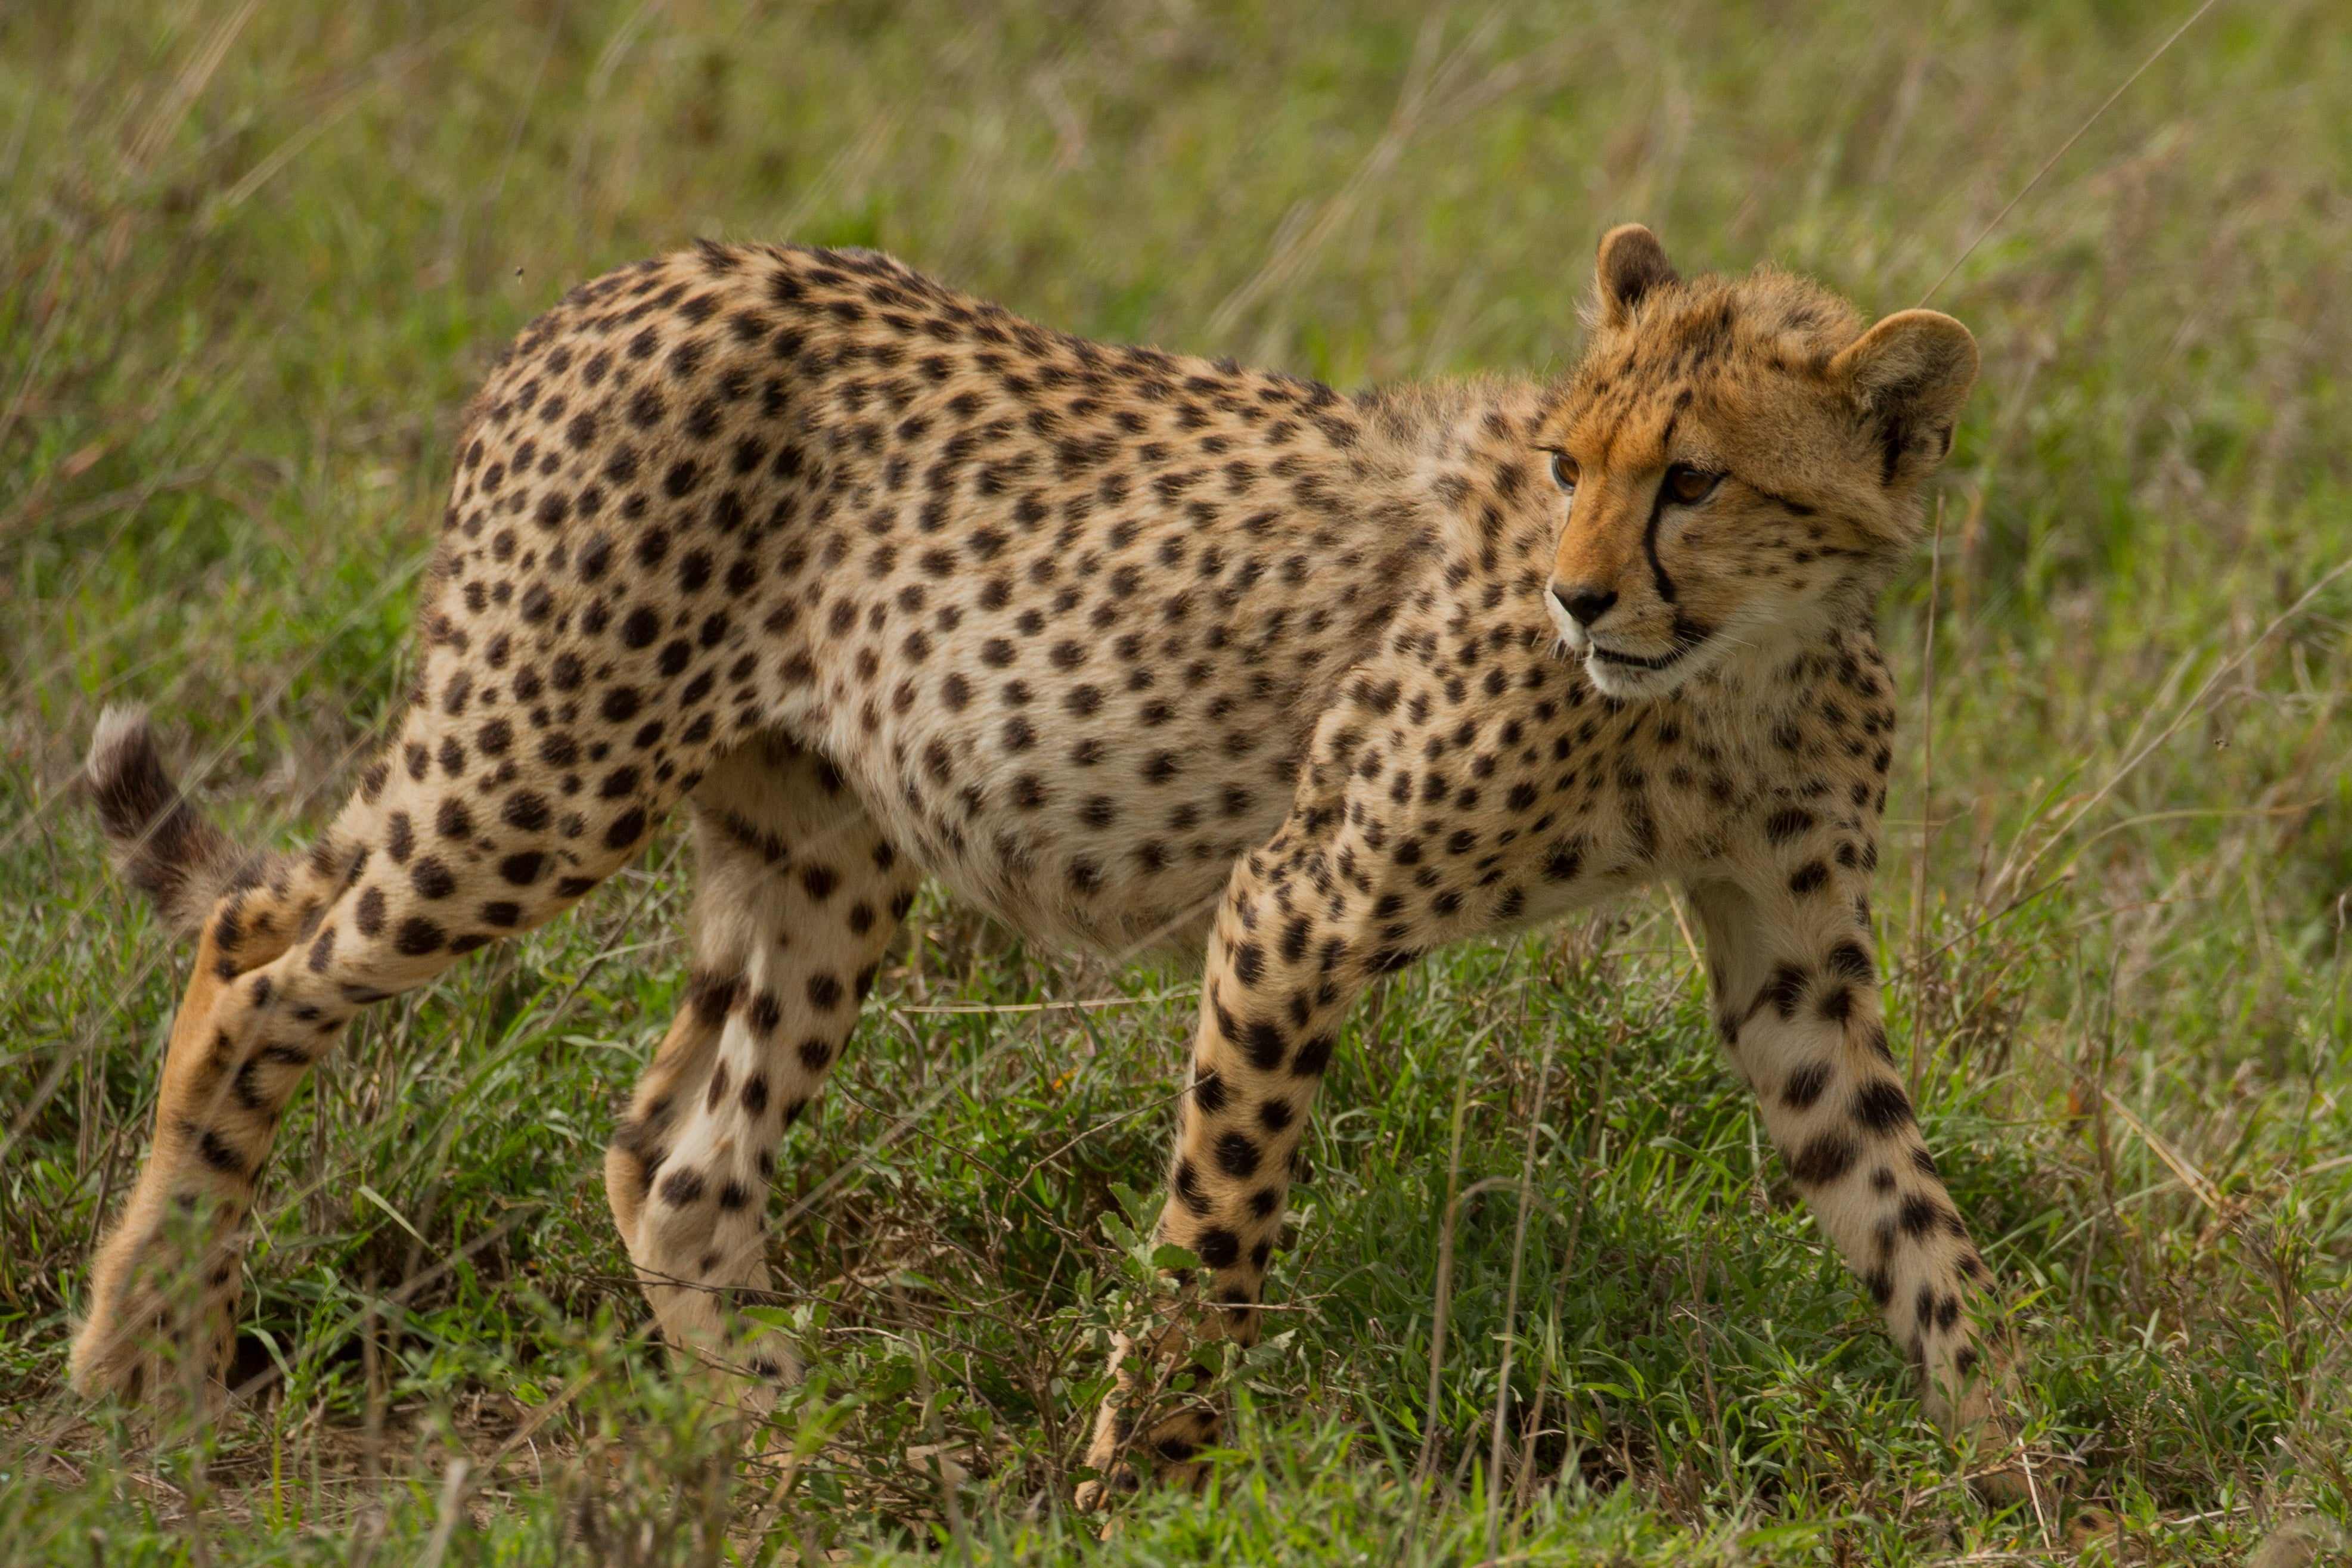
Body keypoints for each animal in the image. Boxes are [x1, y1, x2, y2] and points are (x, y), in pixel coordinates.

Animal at [72, 223, 2014, 1503]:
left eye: (1692, 478)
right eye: (1563, 459)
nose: (1577, 594)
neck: (1728, 671)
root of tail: (641, 273)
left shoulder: (1793, 971)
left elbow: (1913, 1224)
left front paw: (2019, 1480)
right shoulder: (1300, 901)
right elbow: (1215, 1237)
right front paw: (1142, 1489)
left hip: (818, 840)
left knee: (672, 1158)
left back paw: (787, 1438)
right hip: (544, 765)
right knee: (254, 971)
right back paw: (142, 1363)